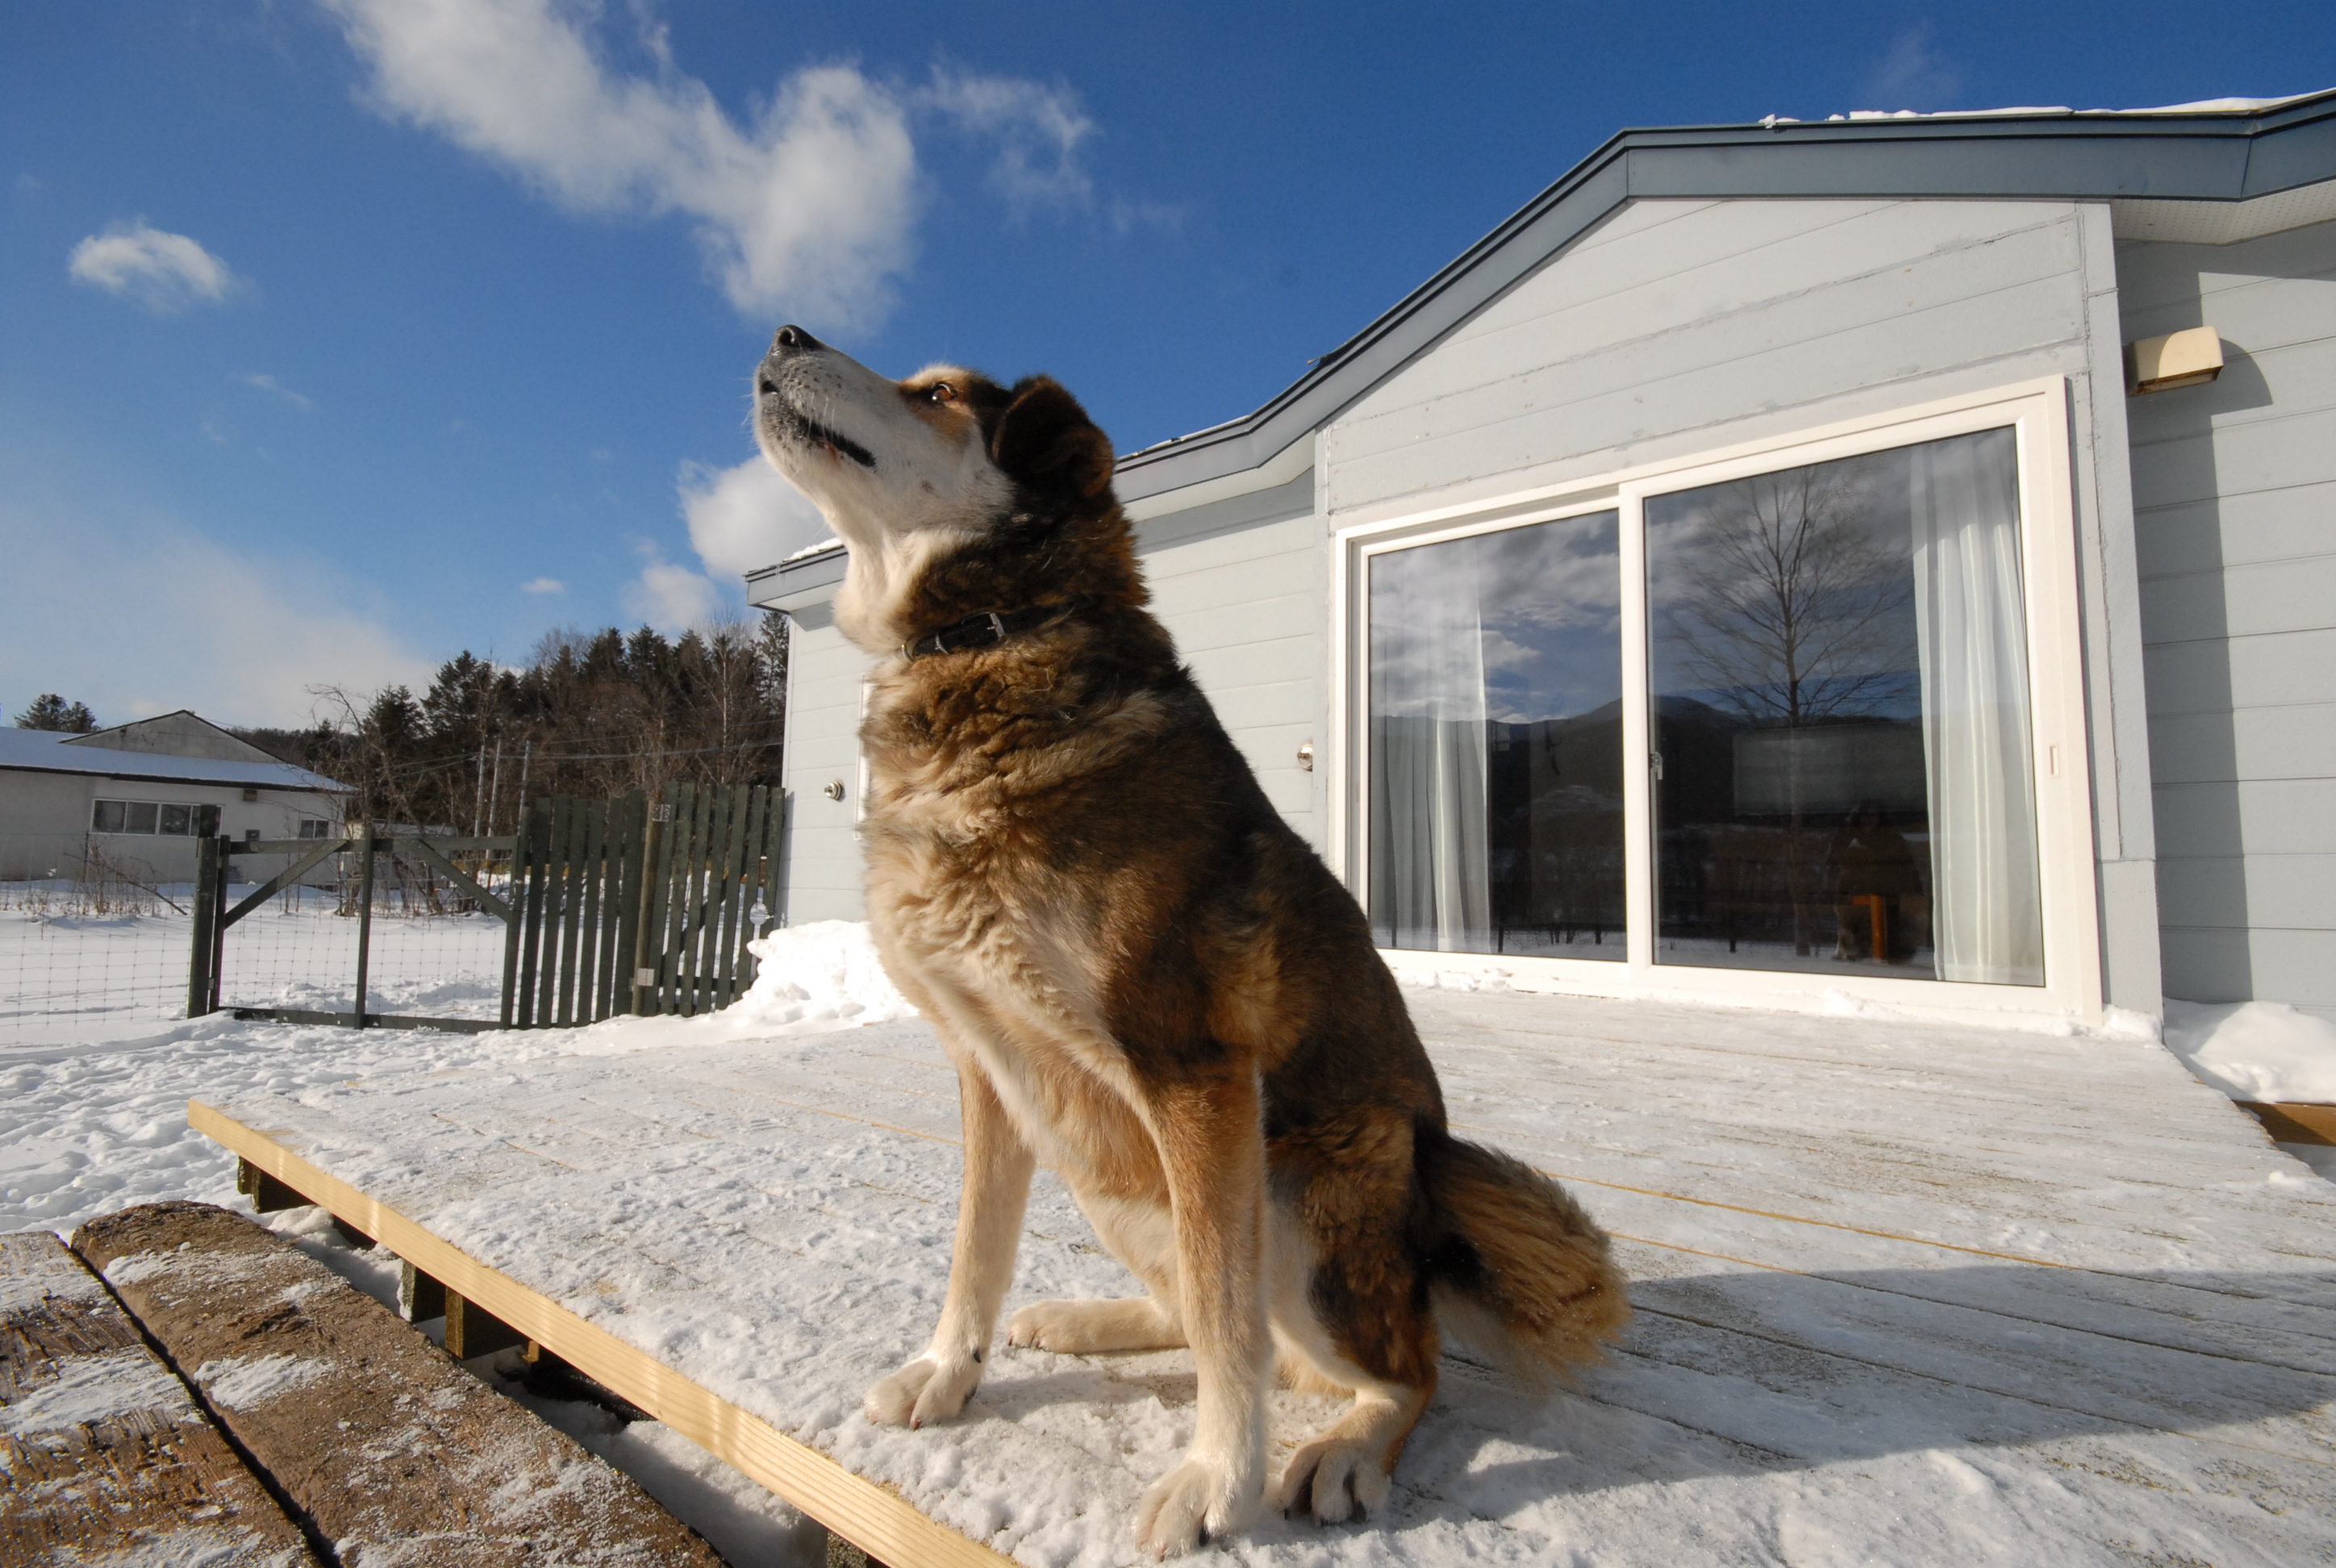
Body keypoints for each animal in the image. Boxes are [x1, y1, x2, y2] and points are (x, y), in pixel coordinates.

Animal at [747, 327, 1625, 1561]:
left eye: (936, 395)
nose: (786, 335)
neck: (987, 643)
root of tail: (1430, 1197)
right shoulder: (991, 1066)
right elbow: (979, 1249)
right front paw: (946, 1373)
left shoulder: (1192, 1067)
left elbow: (1224, 1318)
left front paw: (1219, 1478)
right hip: (1101, 1164)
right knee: (1200, 1308)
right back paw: (1083, 1317)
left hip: (1298, 1190)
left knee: (1396, 1367)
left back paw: (1344, 1448)